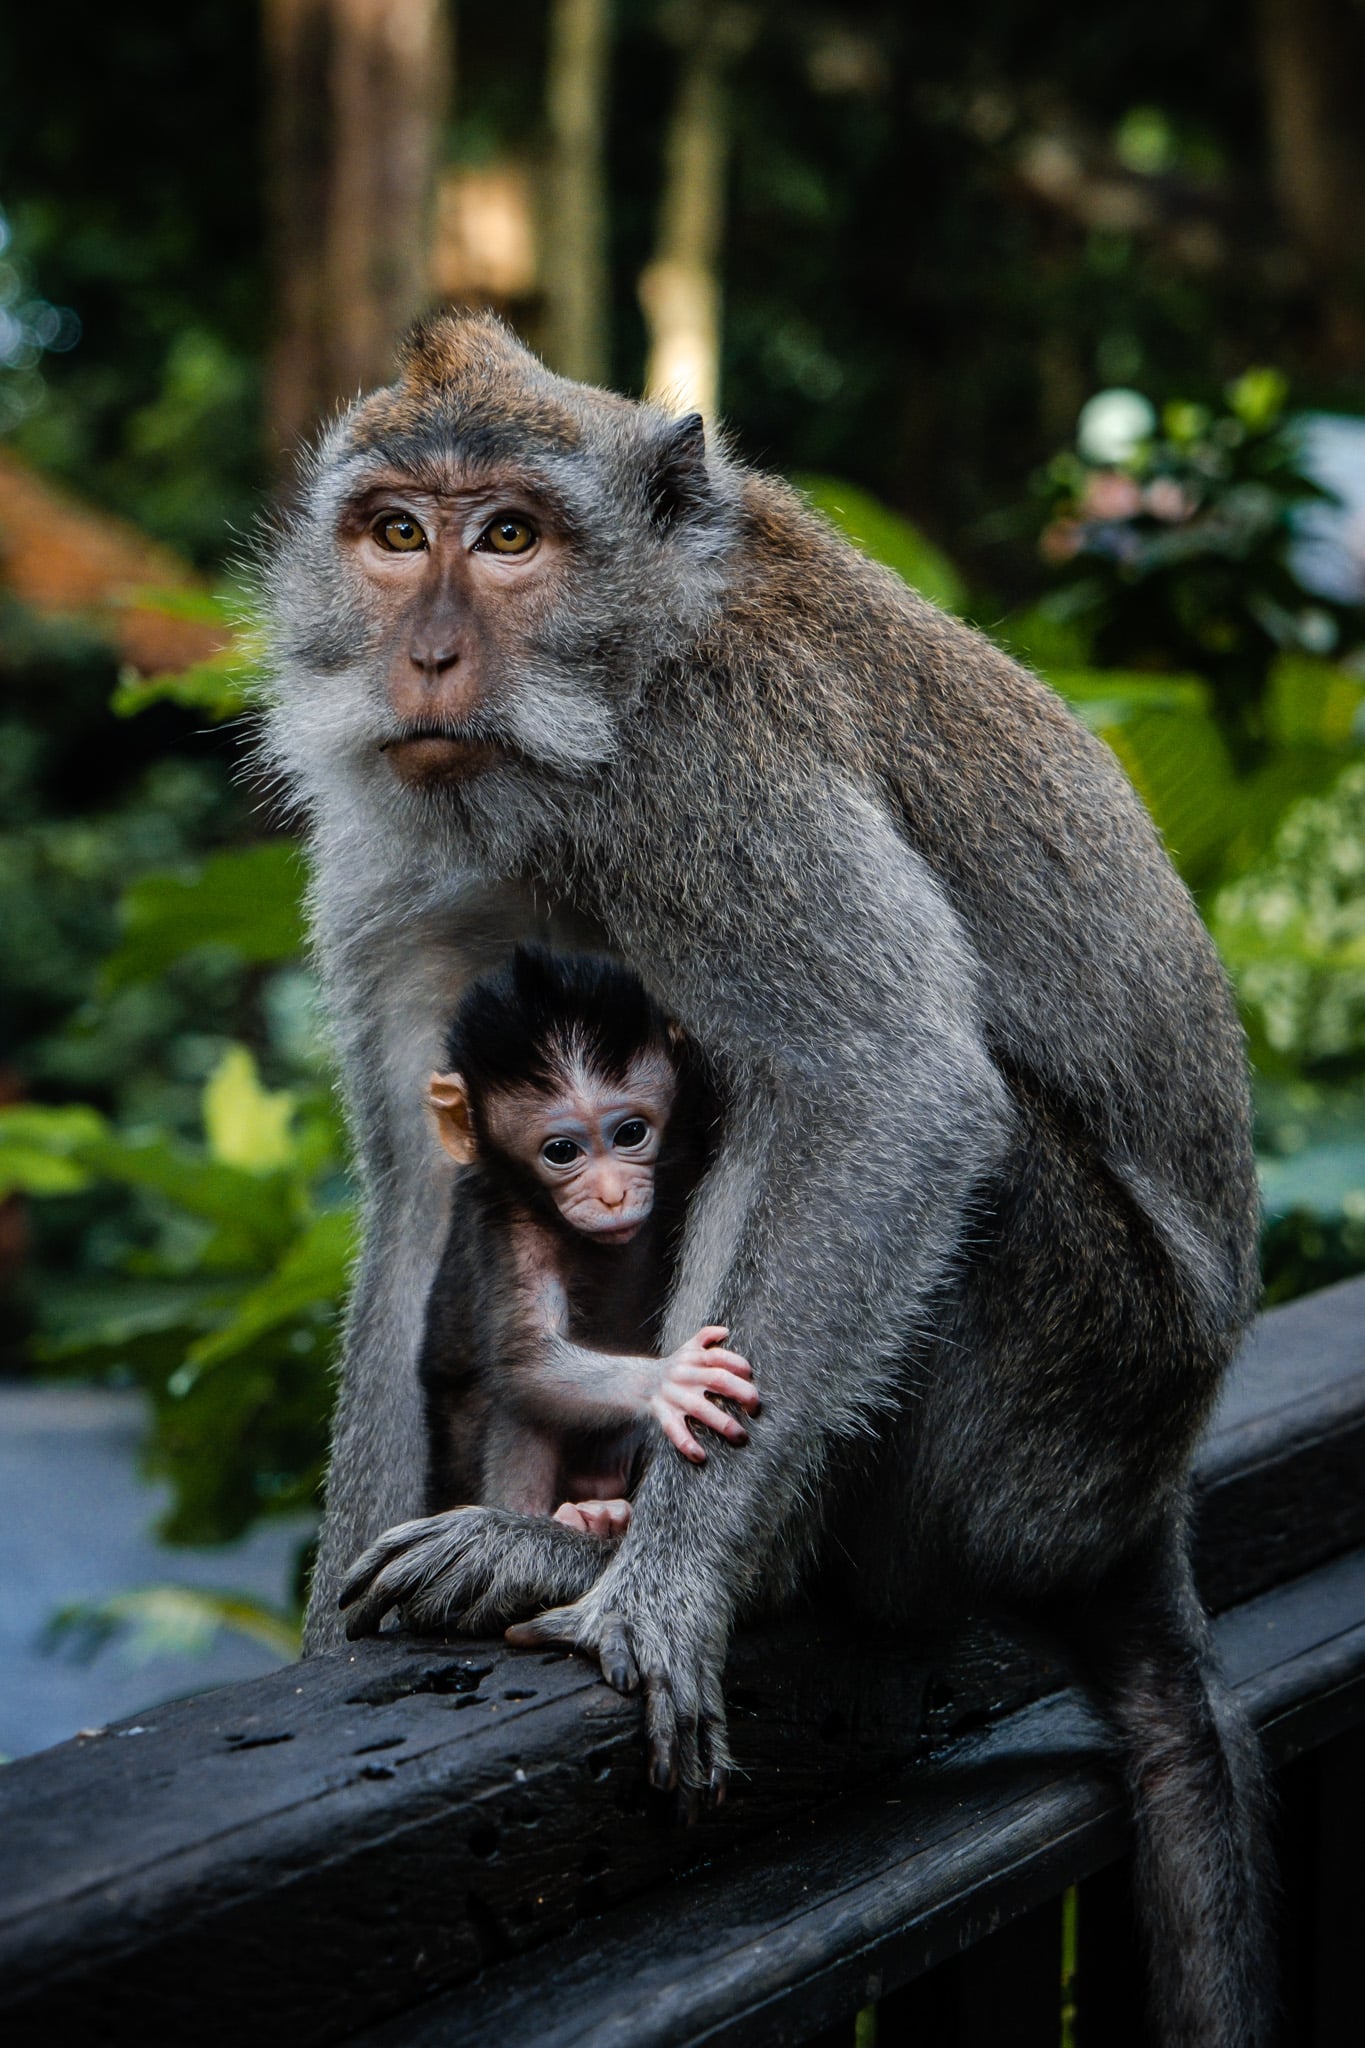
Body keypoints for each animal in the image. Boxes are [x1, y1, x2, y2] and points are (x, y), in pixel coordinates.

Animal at [416, 944, 757, 1536]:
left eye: (631, 1133)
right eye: (561, 1151)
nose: (612, 1195)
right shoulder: (510, 1219)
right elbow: (525, 1360)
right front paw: (669, 1380)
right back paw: (576, 1517)